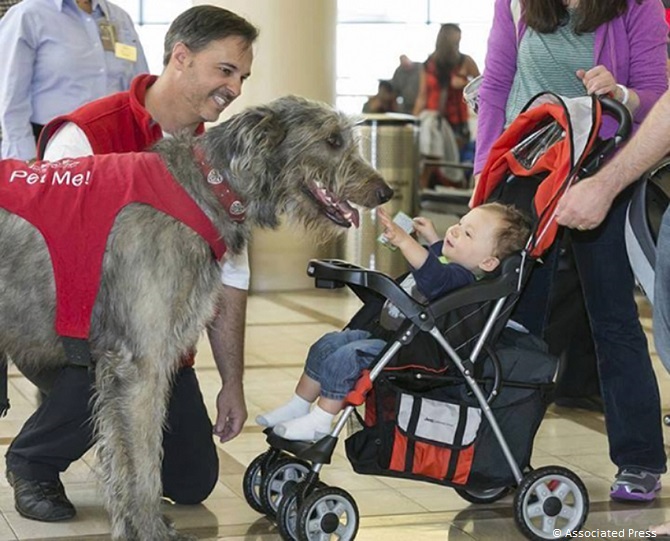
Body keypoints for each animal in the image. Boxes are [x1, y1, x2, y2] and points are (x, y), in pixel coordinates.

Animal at [0, 95, 394, 536]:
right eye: (332, 140)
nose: (386, 191)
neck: (208, 186)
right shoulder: (139, 364)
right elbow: (143, 458)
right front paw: (151, 529)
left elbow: (126, 456)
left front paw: (131, 524)